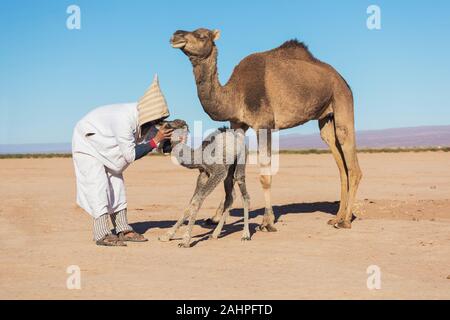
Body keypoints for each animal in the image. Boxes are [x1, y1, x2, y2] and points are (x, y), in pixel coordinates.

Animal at [152, 120, 250, 248]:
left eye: (169, 125)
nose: (159, 123)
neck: (199, 156)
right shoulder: (203, 174)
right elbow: (192, 201)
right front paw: (167, 236)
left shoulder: (218, 172)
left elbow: (197, 200)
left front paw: (185, 240)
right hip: (228, 172)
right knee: (230, 197)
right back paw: (215, 234)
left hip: (240, 161)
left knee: (243, 191)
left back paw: (245, 235)